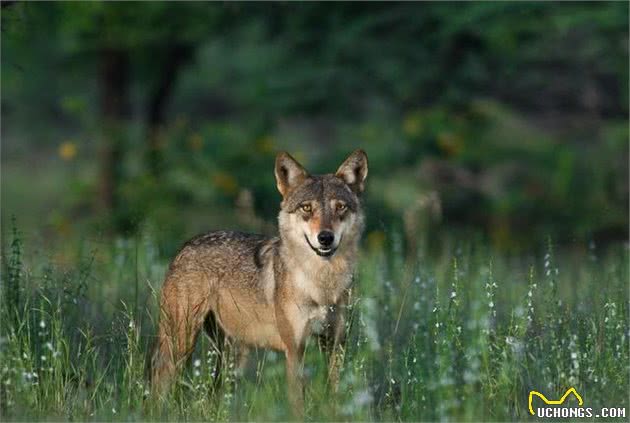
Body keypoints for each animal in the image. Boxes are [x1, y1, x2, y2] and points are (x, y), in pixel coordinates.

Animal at [152, 150, 370, 418]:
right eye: (307, 208)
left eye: (340, 207)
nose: (325, 238)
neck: (322, 285)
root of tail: (185, 246)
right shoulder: (294, 350)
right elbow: (298, 405)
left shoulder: (335, 345)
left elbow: (334, 397)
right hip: (180, 344)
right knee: (159, 382)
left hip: (231, 356)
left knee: (213, 394)